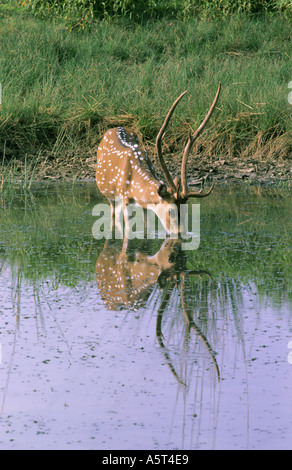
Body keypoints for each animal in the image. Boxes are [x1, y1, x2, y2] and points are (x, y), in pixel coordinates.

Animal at [96, 83, 221, 234]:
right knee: (113, 216)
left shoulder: (145, 205)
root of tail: (113, 128)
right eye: (171, 211)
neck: (134, 187)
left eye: (186, 210)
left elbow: (147, 228)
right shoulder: (125, 199)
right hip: (110, 196)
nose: (180, 233)